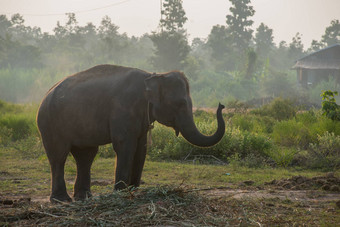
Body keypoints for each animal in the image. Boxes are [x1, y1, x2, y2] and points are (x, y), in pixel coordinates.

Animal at [36, 63, 226, 202]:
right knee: (59, 156)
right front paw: (121, 193)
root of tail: (45, 96)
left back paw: (84, 198)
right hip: (50, 123)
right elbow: (125, 145)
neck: (153, 75)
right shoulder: (123, 109)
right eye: (180, 103)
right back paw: (62, 200)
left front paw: (132, 190)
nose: (221, 105)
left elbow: (141, 147)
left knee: (86, 156)